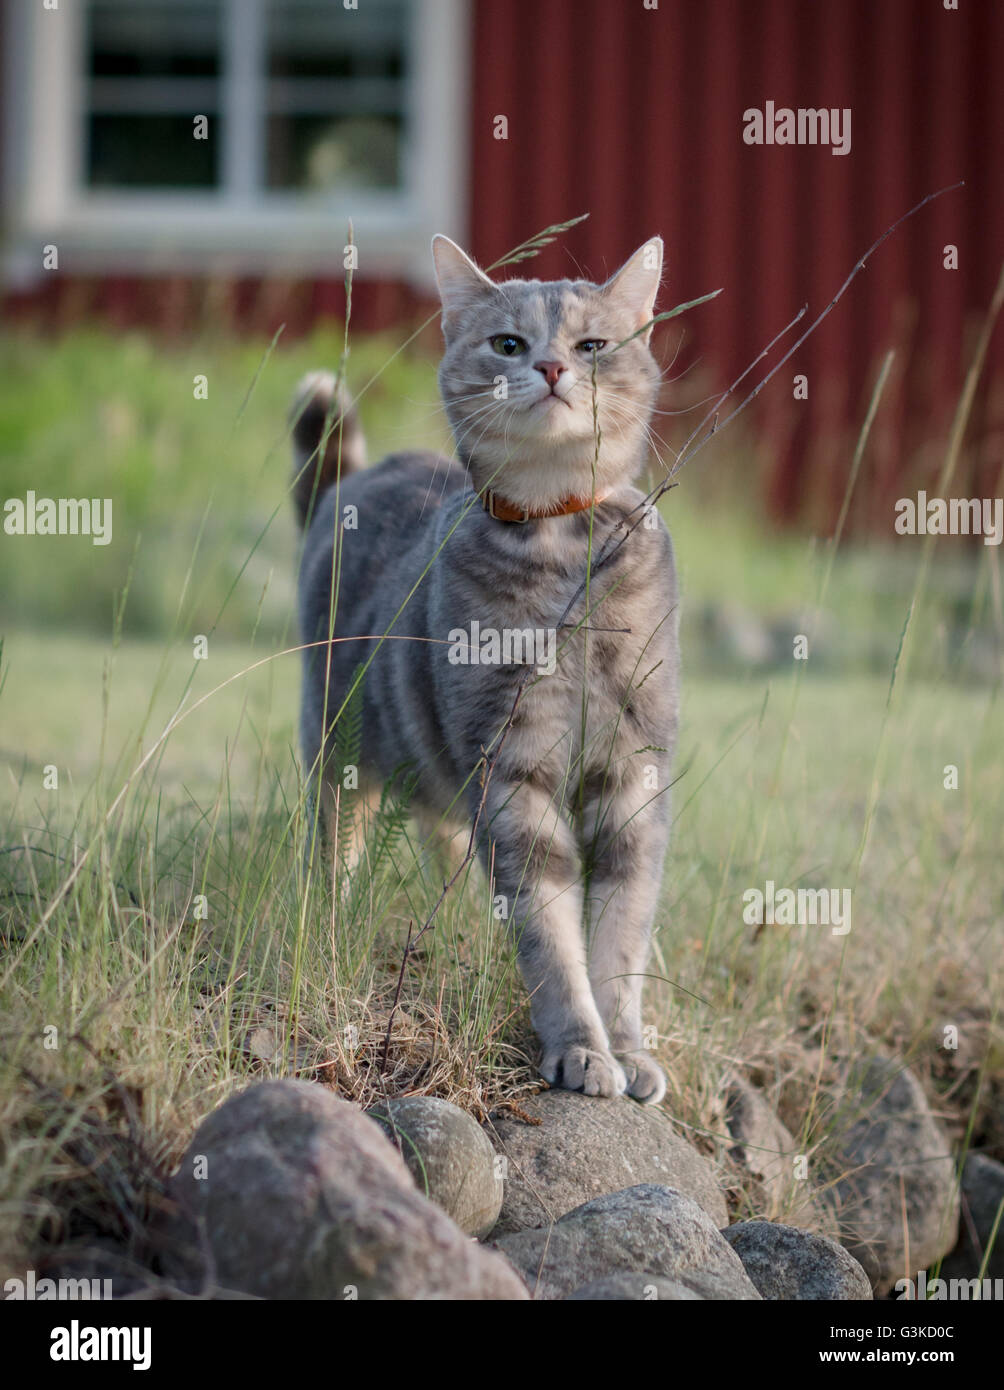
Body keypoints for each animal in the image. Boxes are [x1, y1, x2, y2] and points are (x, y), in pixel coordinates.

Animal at [292, 239, 681, 1106]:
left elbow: (620, 936)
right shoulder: (514, 769)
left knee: (446, 840)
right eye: (508, 343)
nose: (550, 367)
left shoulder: (630, 772)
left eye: (592, 345)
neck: (563, 541)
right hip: (341, 753)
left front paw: (627, 1046)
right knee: (338, 852)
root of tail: (355, 479)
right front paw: (580, 1047)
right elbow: (552, 935)